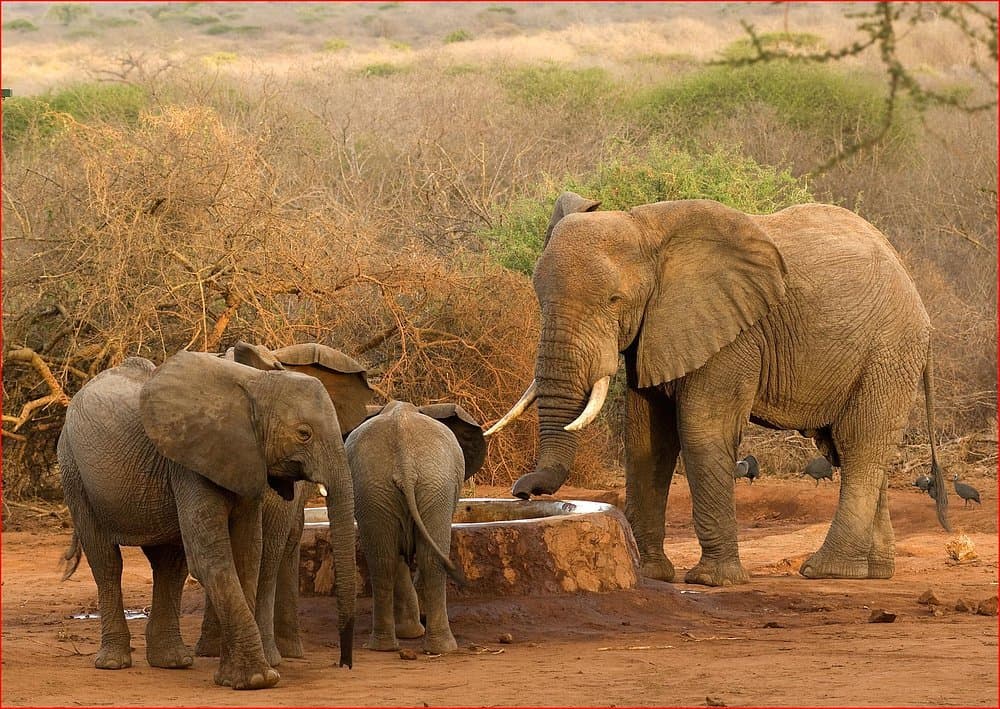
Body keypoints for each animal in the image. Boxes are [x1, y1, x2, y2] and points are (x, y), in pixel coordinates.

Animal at [57, 346, 357, 689]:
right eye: (304, 434)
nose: (344, 665)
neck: (256, 384)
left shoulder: (243, 461)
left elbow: (247, 556)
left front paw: (235, 677)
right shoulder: (189, 462)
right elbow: (211, 558)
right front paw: (258, 679)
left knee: (169, 565)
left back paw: (173, 662)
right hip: (74, 471)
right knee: (107, 561)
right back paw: (114, 663)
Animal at [196, 343, 374, 667]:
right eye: (303, 433)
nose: (344, 663)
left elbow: (267, 548)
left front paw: (268, 658)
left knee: (287, 545)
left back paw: (287, 651)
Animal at [345, 400, 486, 654]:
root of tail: (405, 462)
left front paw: (410, 632)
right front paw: (412, 630)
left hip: (378, 487)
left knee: (384, 561)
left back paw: (387, 647)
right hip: (430, 484)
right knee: (422, 559)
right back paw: (439, 646)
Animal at [487, 192, 949, 586]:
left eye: (615, 300)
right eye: (539, 295)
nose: (523, 490)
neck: (646, 227)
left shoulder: (733, 332)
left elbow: (702, 429)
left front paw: (712, 581)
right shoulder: (656, 326)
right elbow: (647, 439)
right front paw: (652, 574)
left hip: (889, 351)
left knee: (860, 445)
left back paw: (826, 570)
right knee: (848, 447)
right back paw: (873, 572)